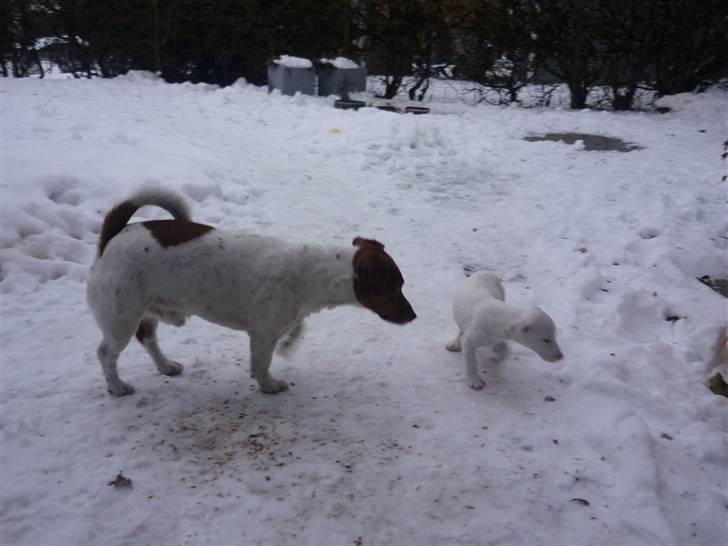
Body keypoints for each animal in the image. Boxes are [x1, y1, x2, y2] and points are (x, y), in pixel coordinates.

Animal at [86, 186, 416, 396]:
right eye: (395, 287)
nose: (414, 316)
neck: (315, 274)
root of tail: (112, 237)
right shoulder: (263, 333)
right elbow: (261, 363)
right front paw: (269, 385)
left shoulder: (287, 318)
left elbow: (298, 328)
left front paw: (290, 345)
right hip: (121, 319)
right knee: (105, 354)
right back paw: (117, 387)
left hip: (147, 311)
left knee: (148, 339)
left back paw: (166, 366)